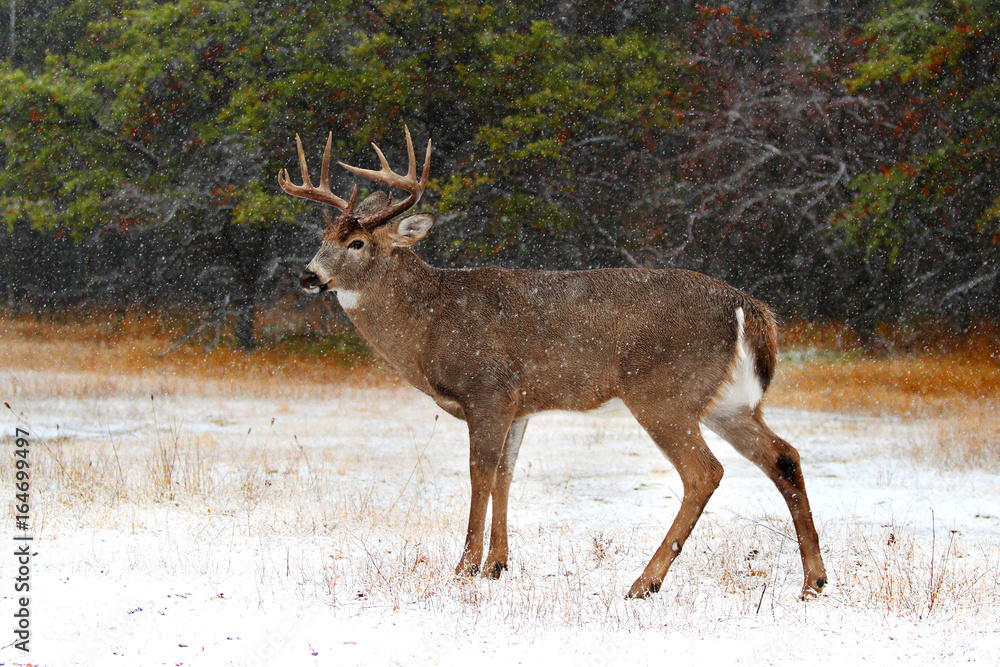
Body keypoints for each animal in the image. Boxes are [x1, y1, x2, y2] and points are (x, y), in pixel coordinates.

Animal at [279, 127, 828, 599]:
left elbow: (480, 473)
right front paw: (498, 564)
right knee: (783, 455)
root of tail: (748, 307)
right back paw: (813, 582)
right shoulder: (520, 403)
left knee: (704, 472)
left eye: (357, 243)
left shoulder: (488, 389)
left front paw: (464, 567)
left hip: (663, 392)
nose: (308, 276)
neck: (431, 322)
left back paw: (644, 583)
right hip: (725, 401)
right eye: (322, 237)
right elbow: (505, 474)